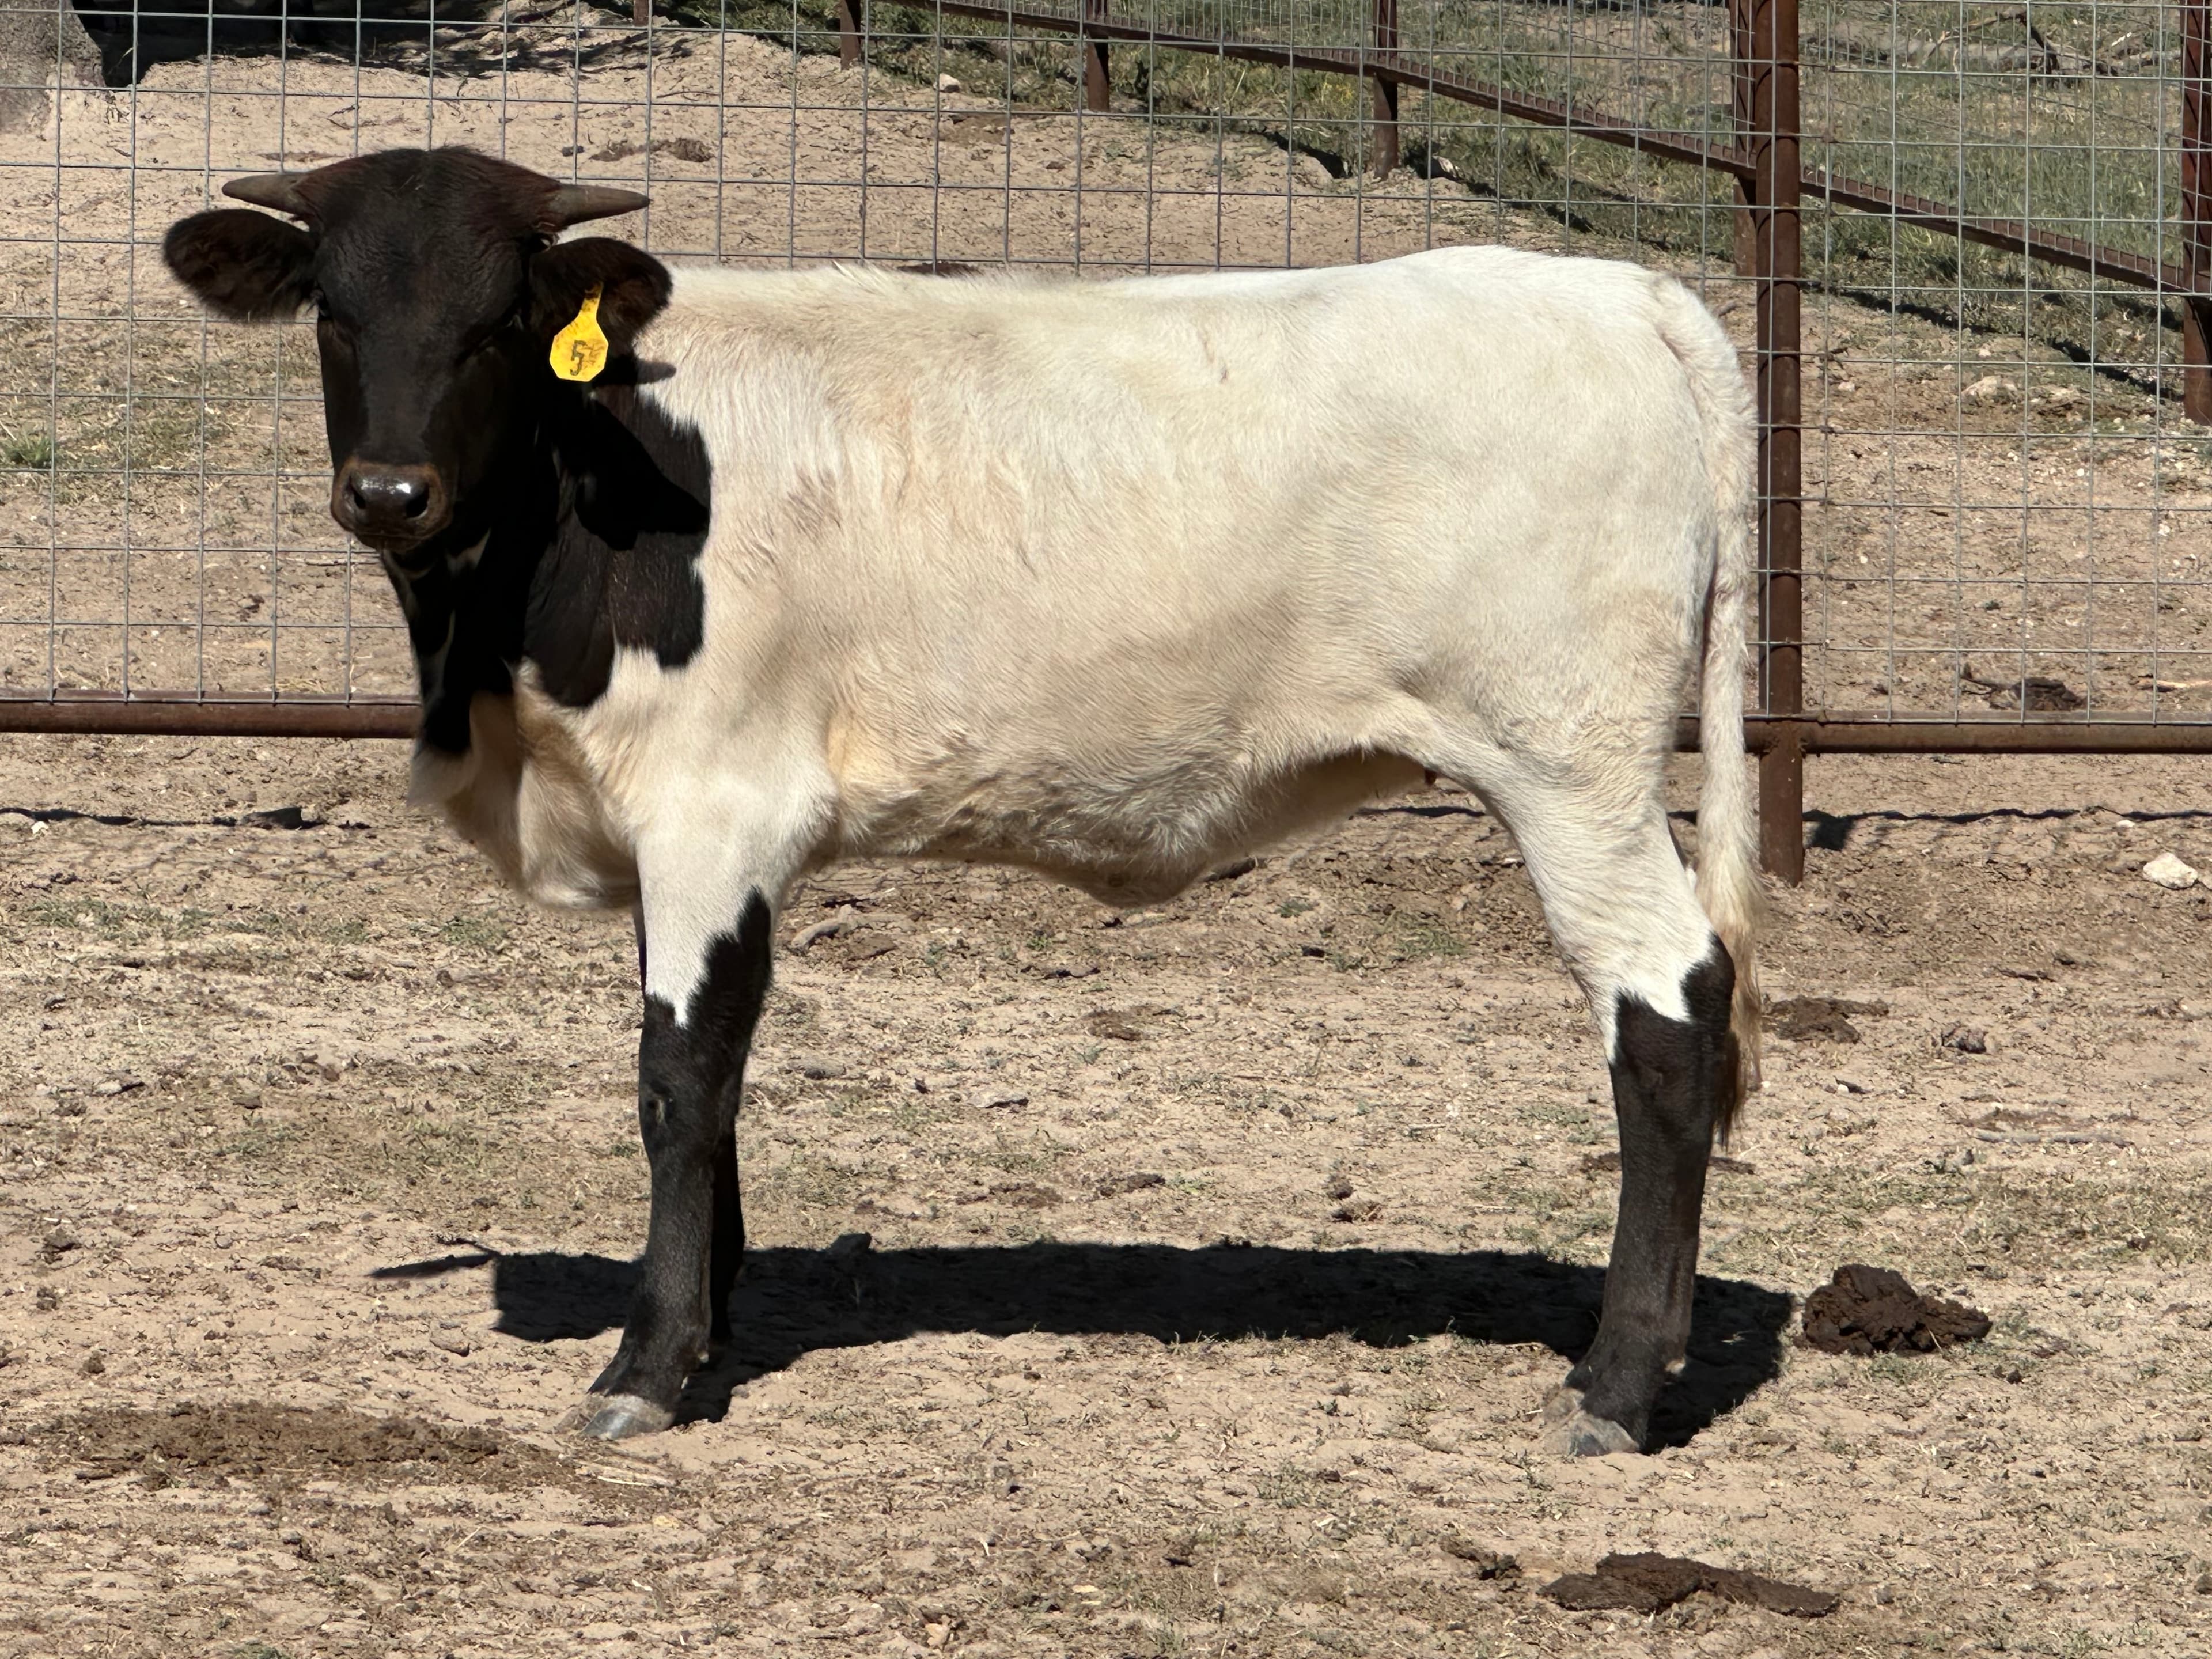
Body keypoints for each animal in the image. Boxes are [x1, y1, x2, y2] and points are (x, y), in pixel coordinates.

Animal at [162, 146, 1765, 1455]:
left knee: (1668, 1011)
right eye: (334, 313)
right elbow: (715, 1071)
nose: (390, 494)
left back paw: (1617, 1386)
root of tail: (1616, 291)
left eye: (501, 321)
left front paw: (649, 1364)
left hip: (1572, 768)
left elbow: (678, 1080)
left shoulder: (715, 806)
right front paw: (712, 1323)